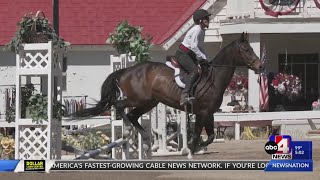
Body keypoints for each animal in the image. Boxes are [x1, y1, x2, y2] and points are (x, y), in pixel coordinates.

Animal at [75, 32, 262, 158]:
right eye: (246, 49)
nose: (260, 67)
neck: (214, 78)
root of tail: (125, 70)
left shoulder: (209, 114)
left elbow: (210, 137)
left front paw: (194, 147)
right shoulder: (201, 113)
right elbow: (197, 135)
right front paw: (191, 150)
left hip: (149, 102)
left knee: (133, 115)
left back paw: (144, 137)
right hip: (139, 99)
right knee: (120, 106)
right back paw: (128, 130)